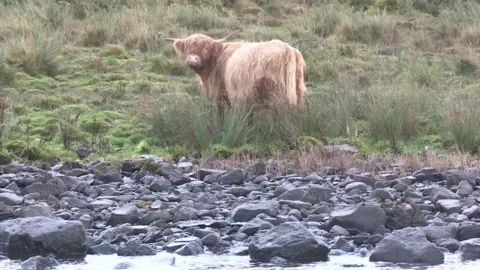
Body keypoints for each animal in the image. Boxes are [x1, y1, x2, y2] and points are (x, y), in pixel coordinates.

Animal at [165, 31, 308, 111]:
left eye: (206, 48)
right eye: (188, 47)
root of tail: (286, 48)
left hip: (276, 95)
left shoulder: (221, 97)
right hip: (298, 90)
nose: (193, 58)